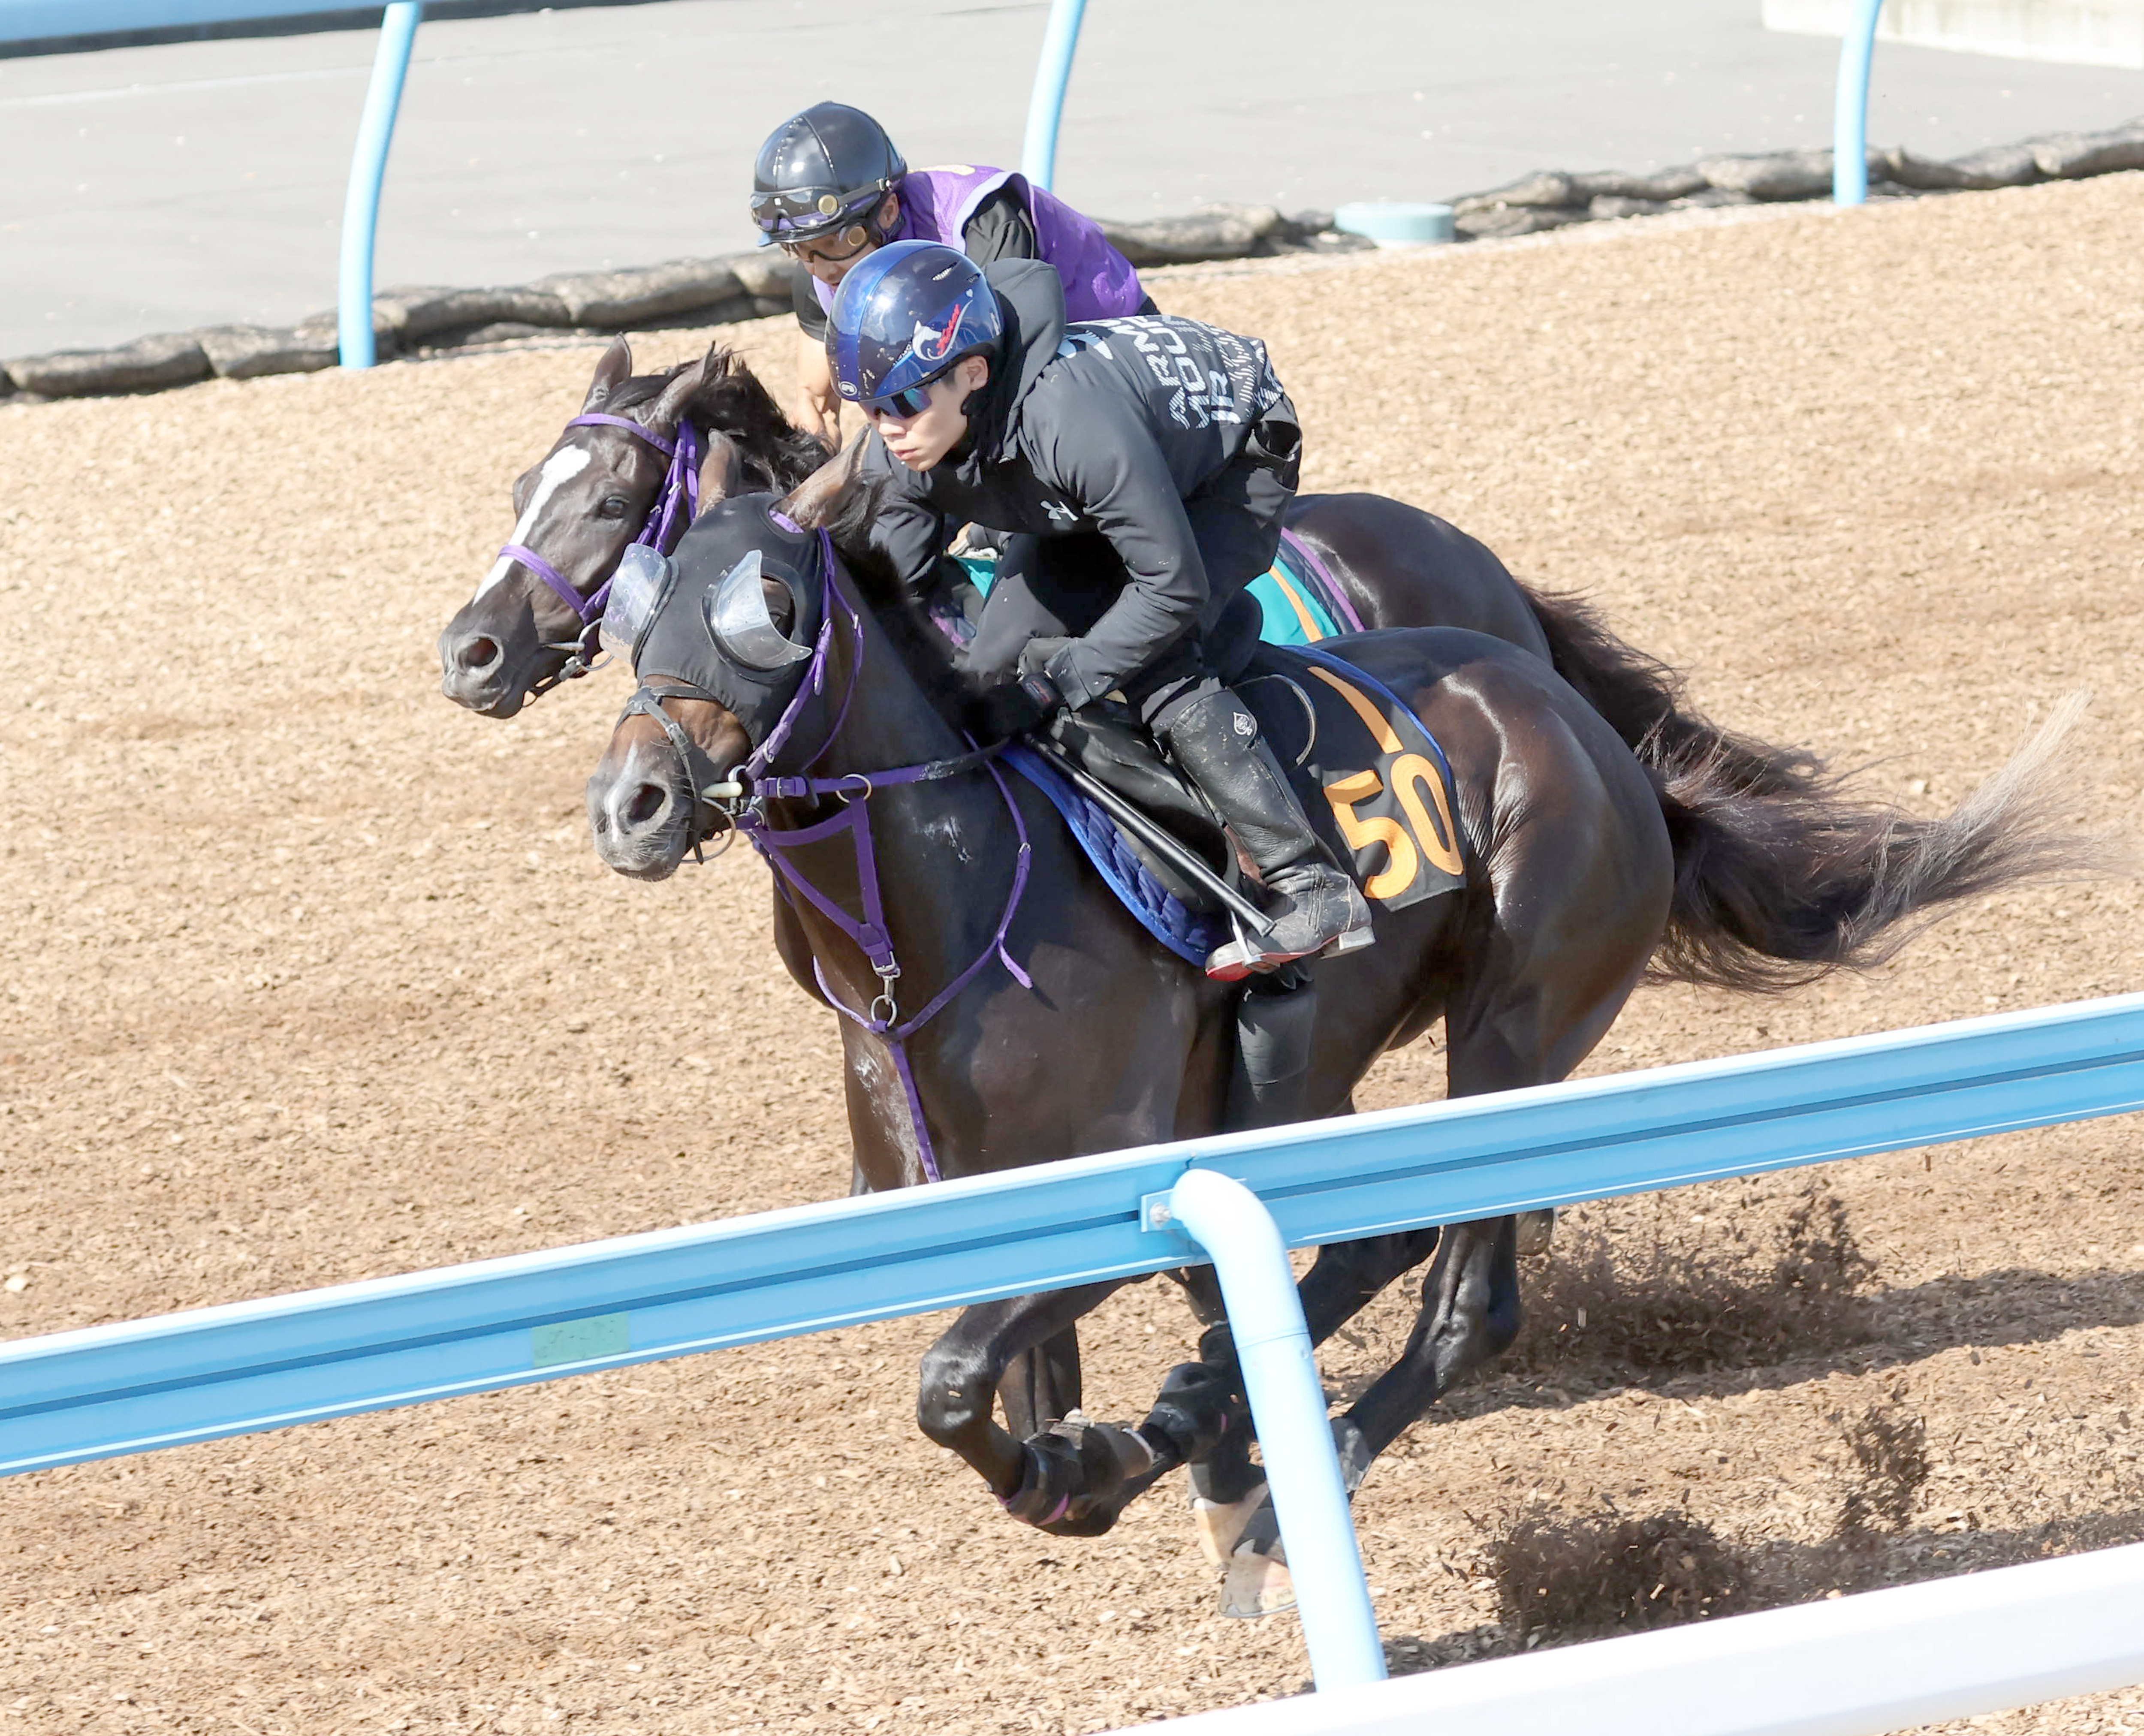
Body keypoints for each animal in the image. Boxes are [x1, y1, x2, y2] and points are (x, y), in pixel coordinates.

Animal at [574, 469, 2075, 1612]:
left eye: (767, 608)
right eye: (634, 607)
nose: (631, 802)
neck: (946, 917)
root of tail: (1579, 722)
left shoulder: (1119, 1178)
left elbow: (954, 1382)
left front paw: (1084, 1470)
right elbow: (1011, 1370)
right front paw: (1102, 1444)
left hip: (1512, 1027)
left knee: (1461, 1293)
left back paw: (1266, 1477)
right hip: (1328, 1071)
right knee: (1369, 1244)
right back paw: (1202, 1423)